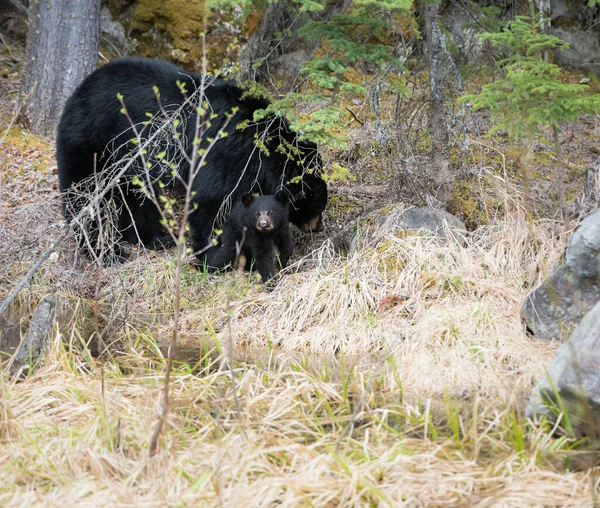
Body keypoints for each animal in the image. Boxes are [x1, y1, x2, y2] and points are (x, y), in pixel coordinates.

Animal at [56, 57, 328, 260]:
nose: (318, 227)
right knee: (86, 198)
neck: (261, 145)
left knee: (135, 198)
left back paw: (155, 238)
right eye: (318, 204)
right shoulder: (222, 153)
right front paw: (215, 255)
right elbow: (210, 203)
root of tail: (78, 92)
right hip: (94, 143)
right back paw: (106, 252)